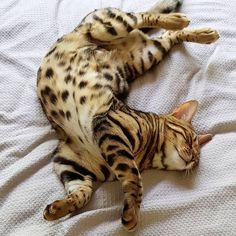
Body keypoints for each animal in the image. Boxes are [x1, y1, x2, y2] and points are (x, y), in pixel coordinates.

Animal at [37, 0, 219, 231]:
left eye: (197, 159)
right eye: (192, 141)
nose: (193, 158)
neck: (149, 155)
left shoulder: (69, 163)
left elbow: (84, 192)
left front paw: (59, 208)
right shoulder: (106, 134)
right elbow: (133, 178)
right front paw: (132, 212)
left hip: (147, 55)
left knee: (168, 35)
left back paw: (202, 33)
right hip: (109, 27)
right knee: (143, 17)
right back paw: (180, 20)